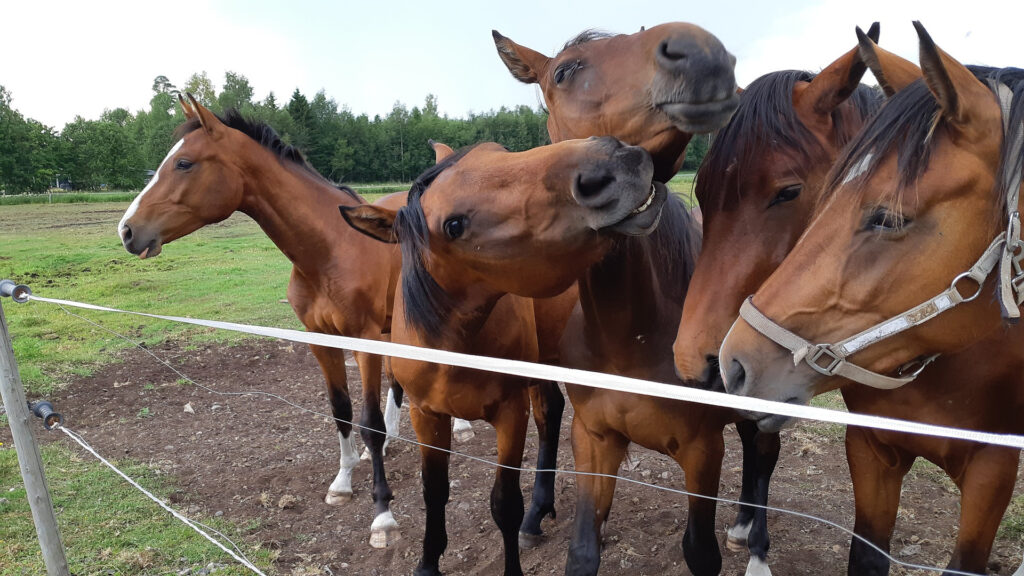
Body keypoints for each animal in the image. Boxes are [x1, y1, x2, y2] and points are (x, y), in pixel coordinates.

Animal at [342, 138, 663, 573]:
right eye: (454, 226)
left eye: (497, 150)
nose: (612, 160)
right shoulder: (426, 415)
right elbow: (434, 492)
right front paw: (428, 562)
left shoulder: (511, 412)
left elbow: (505, 503)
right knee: (551, 412)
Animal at [493, 22, 774, 573]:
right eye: (564, 71)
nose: (699, 50)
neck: (628, 340)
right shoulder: (593, 440)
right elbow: (583, 550)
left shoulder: (702, 452)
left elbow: (700, 551)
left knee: (764, 452)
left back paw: (757, 544)